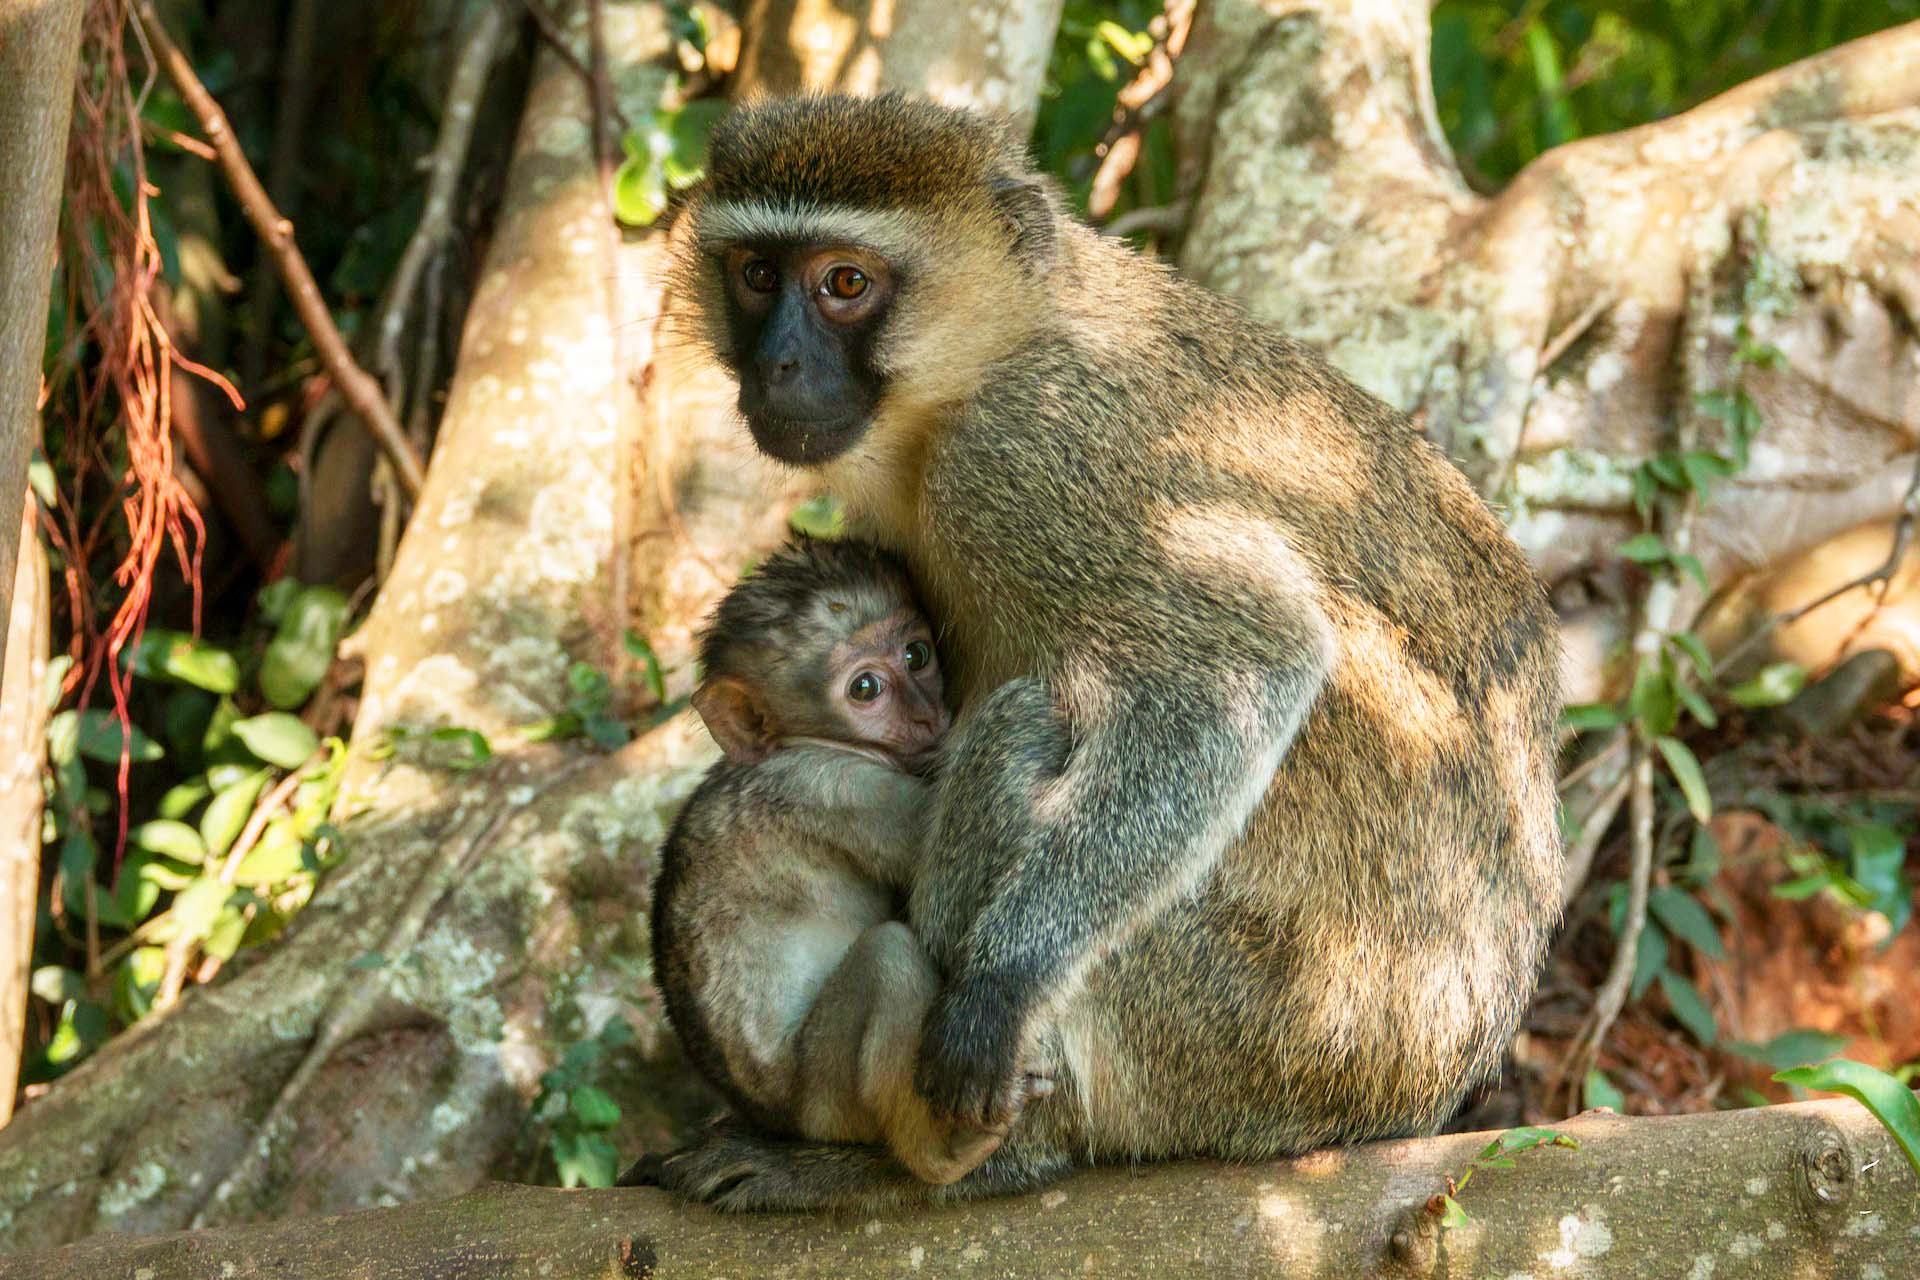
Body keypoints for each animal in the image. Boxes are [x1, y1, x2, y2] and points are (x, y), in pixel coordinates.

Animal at [639, 537, 1057, 1189]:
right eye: (865, 689)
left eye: (916, 655)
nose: (927, 716)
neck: (800, 744)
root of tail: (780, 1123)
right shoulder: (834, 785)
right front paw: (1023, 717)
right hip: (829, 1099)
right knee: (888, 956)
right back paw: (941, 1150)